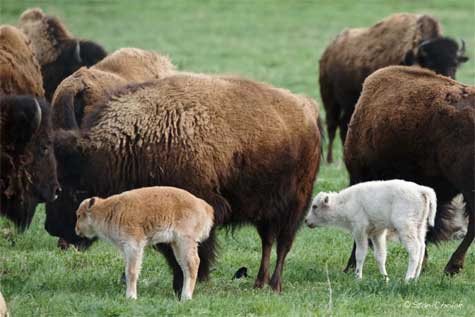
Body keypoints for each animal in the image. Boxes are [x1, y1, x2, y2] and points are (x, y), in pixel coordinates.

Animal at [76, 186, 214, 300]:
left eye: (79, 215)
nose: (76, 229)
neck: (108, 210)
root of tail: (204, 206)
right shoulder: (127, 249)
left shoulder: (133, 245)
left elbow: (131, 271)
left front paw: (131, 297)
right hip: (177, 244)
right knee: (185, 266)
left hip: (185, 241)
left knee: (193, 264)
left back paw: (186, 297)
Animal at [306, 179, 436, 280]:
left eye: (315, 206)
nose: (306, 221)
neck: (345, 202)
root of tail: (421, 190)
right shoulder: (377, 233)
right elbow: (380, 256)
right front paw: (385, 278)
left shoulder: (359, 231)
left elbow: (360, 254)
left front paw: (358, 277)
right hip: (420, 227)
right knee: (421, 248)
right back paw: (415, 278)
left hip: (406, 228)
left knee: (414, 249)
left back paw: (407, 279)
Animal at [320, 12, 468, 162]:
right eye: (431, 63)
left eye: (455, 63)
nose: (448, 79)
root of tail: (330, 50)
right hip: (330, 99)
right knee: (332, 126)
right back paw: (330, 160)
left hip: (350, 105)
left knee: (344, 126)